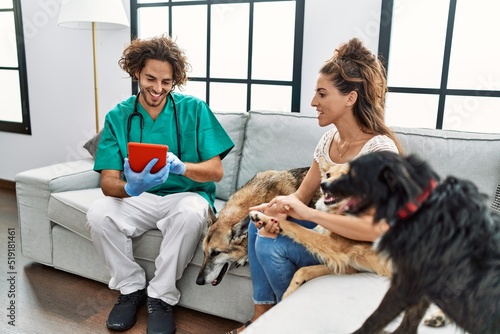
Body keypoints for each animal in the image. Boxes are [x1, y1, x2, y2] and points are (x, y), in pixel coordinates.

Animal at [324, 151, 500, 334]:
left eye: (353, 174)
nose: (323, 184)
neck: (420, 206)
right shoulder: (420, 285)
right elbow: (410, 319)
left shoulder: (406, 284)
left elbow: (376, 319)